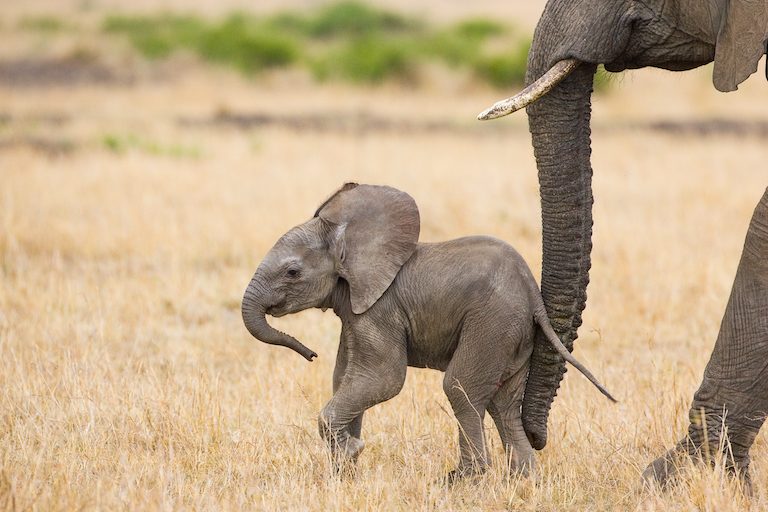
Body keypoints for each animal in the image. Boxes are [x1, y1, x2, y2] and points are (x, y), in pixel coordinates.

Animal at [241, 183, 615, 479]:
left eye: (292, 272)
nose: (310, 354)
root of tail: (532, 294)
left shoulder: (380, 309)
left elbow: (383, 378)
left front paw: (349, 452)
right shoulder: (357, 310)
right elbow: (345, 377)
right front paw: (344, 471)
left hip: (493, 322)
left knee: (461, 387)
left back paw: (463, 480)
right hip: (513, 334)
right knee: (503, 404)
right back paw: (523, 481)